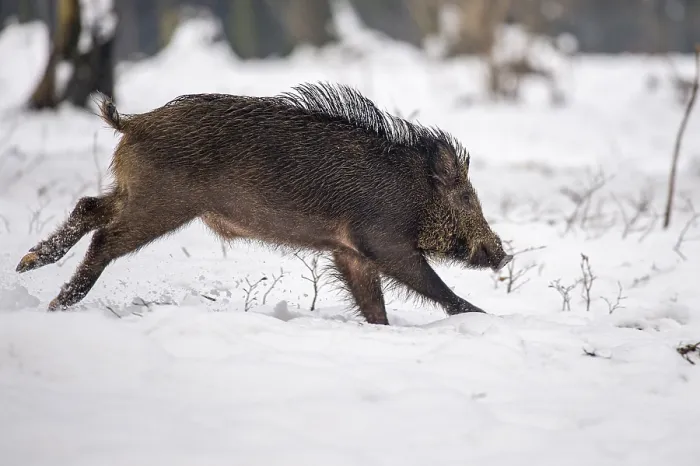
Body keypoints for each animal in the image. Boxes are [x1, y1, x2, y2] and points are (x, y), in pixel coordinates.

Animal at [16, 82, 512, 324]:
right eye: (466, 197)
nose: (503, 253)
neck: (413, 196)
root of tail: (134, 122)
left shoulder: (349, 252)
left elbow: (374, 307)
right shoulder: (383, 241)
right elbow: (438, 289)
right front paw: (484, 318)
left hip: (137, 193)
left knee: (87, 206)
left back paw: (27, 265)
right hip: (164, 203)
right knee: (104, 237)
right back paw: (57, 304)